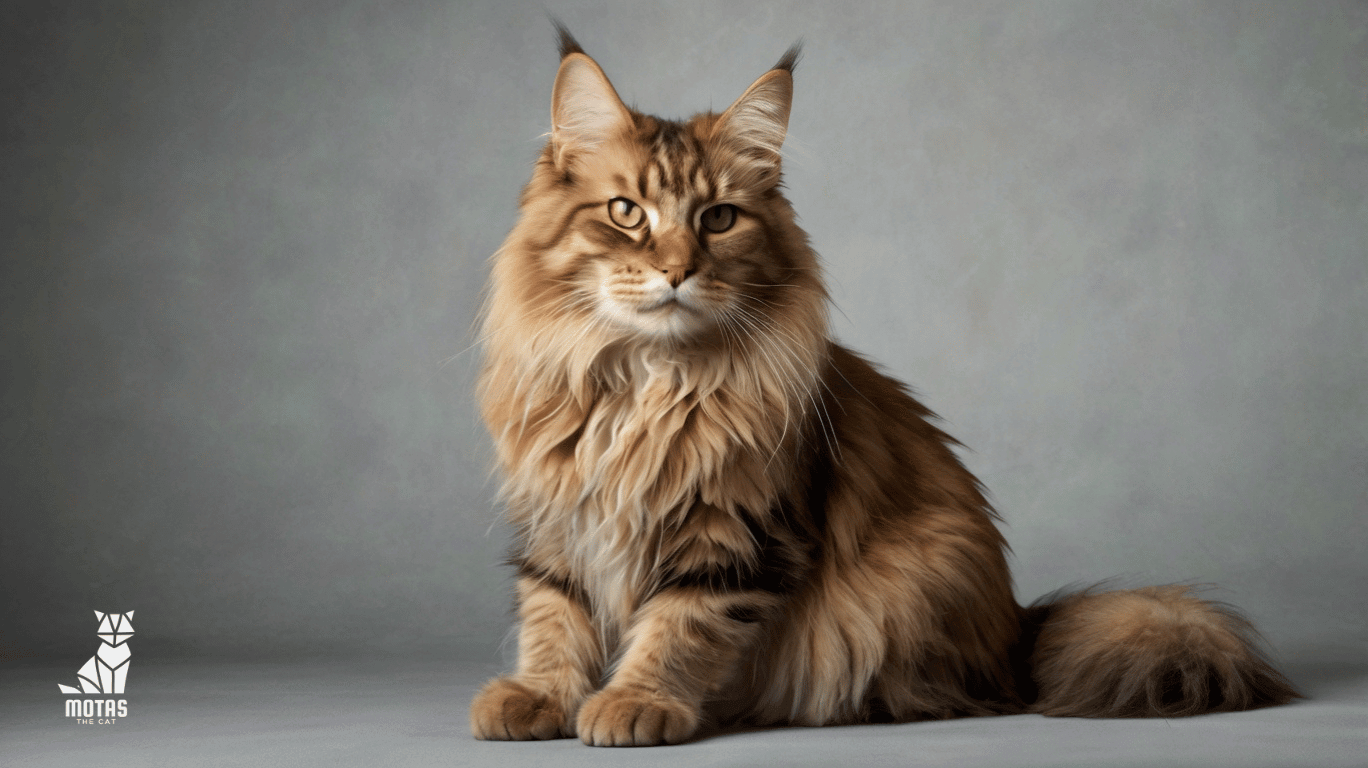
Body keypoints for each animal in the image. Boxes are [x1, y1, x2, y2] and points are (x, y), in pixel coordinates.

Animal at [473, 28, 1302, 744]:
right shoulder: (557, 521)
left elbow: (680, 626)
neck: (644, 382)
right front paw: (540, 697)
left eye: (718, 219)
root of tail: (1018, 629)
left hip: (909, 578)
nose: (679, 270)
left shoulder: (738, 532)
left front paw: (636, 702)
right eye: (625, 213)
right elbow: (554, 615)